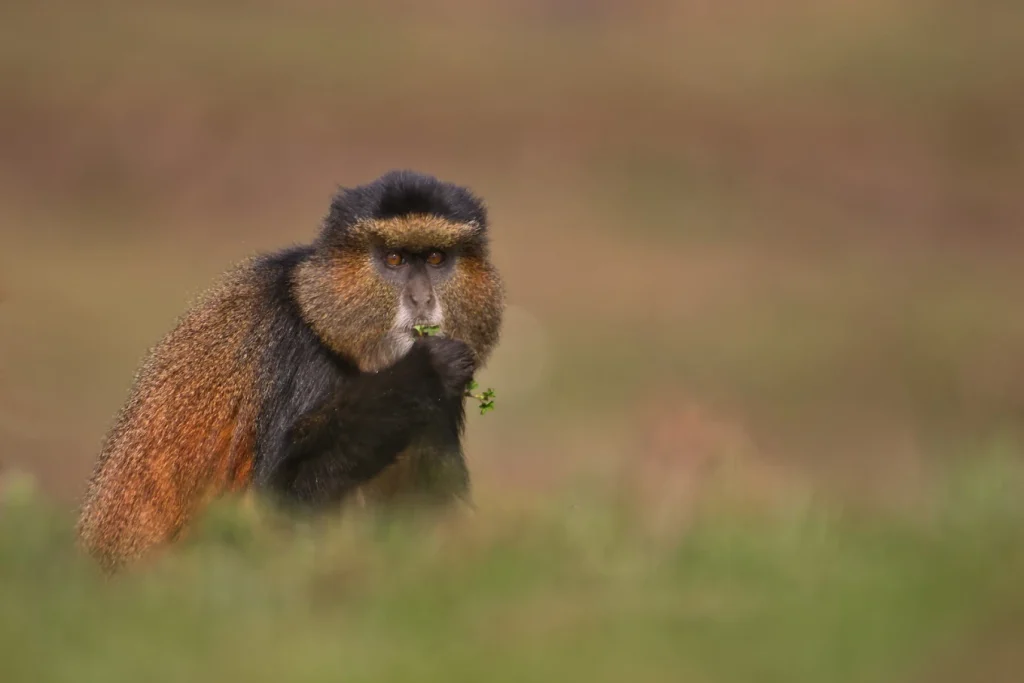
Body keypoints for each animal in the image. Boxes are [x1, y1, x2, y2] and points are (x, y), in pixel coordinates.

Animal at [75, 170, 505, 571]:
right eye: (394, 259)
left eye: (436, 258)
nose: (421, 299)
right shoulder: (298, 354)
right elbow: (278, 500)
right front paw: (425, 370)